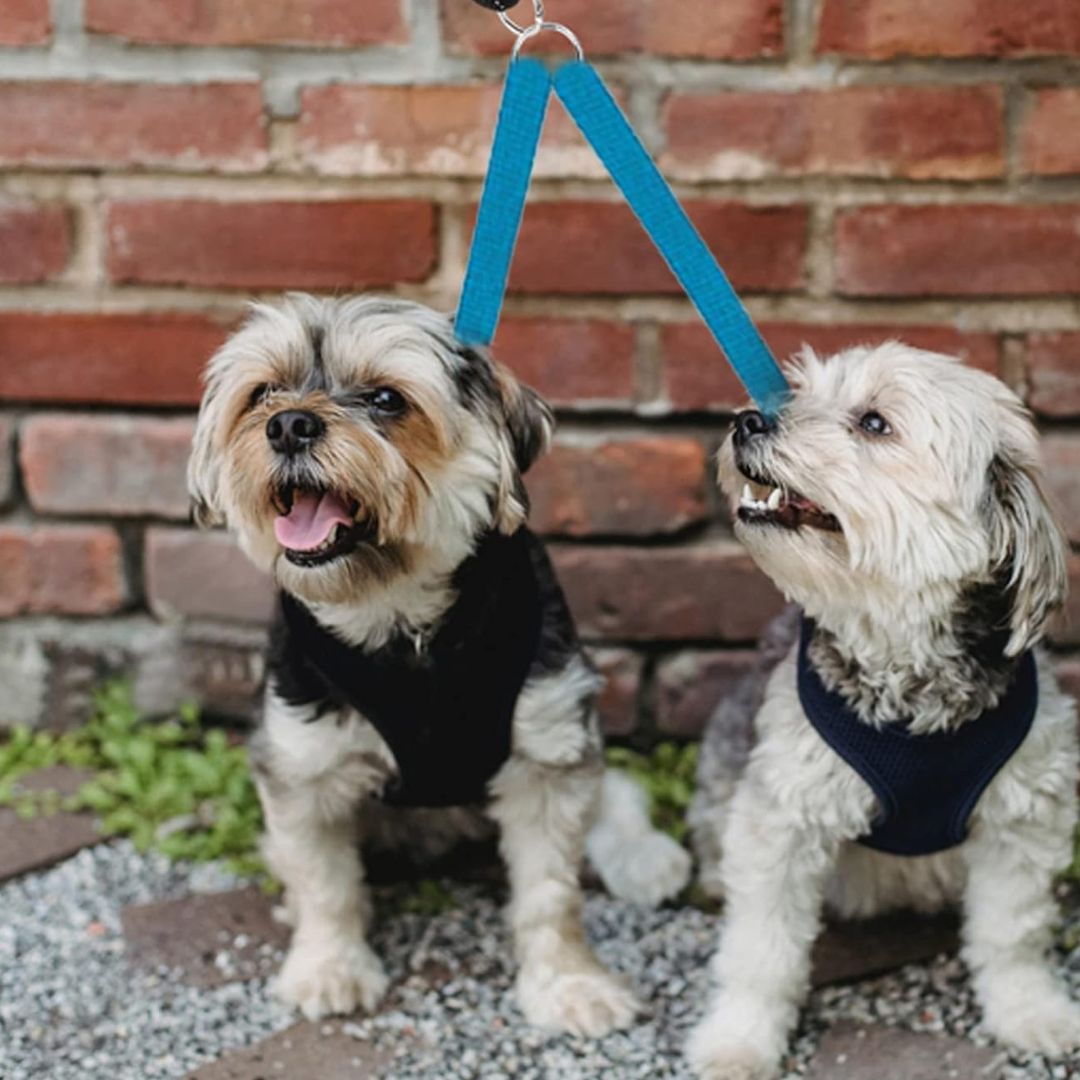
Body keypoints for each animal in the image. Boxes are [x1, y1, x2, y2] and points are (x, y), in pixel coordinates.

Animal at [686, 345, 1075, 1080]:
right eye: (797, 393)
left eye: (873, 423)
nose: (748, 420)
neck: (907, 663)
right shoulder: (781, 820)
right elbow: (762, 953)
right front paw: (740, 1040)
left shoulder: (1021, 820)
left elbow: (1011, 934)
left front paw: (1029, 1012)